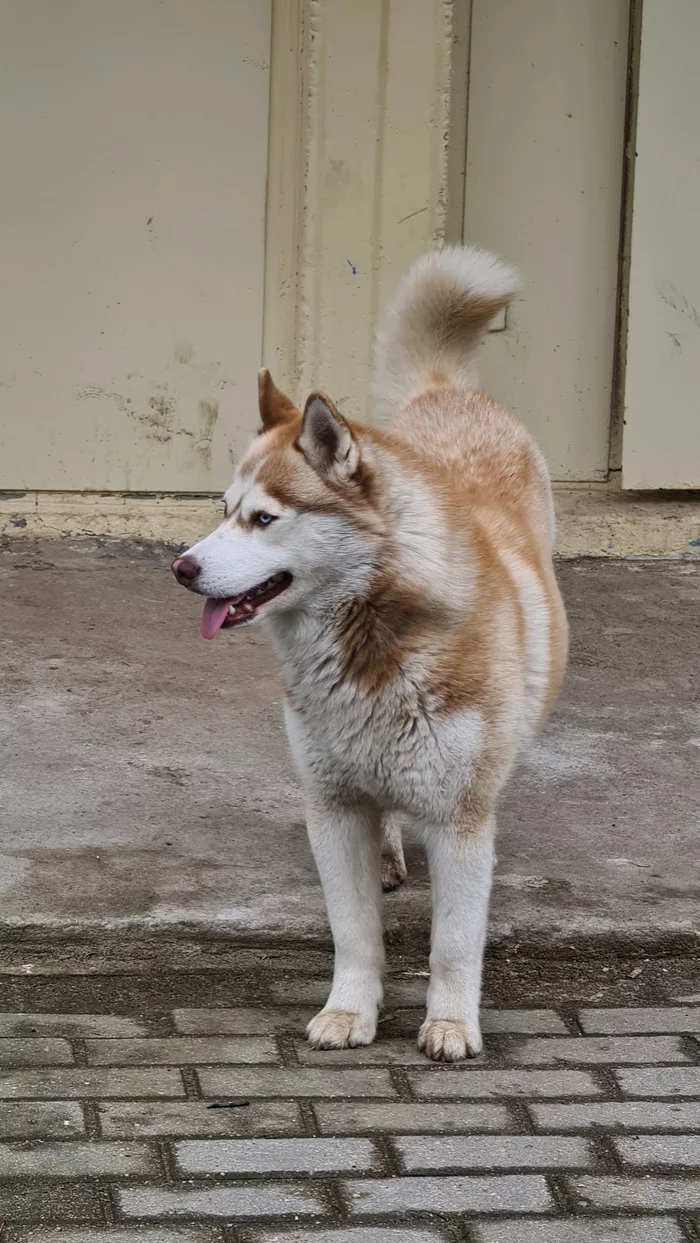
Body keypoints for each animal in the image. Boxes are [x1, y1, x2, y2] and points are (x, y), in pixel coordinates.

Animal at [172, 247, 566, 1064]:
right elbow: (354, 934)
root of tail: (444, 391)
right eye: (223, 511)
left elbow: (454, 942)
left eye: (264, 519)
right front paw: (349, 1011)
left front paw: (450, 1023)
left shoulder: (460, 820)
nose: (182, 567)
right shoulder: (331, 806)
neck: (373, 642)